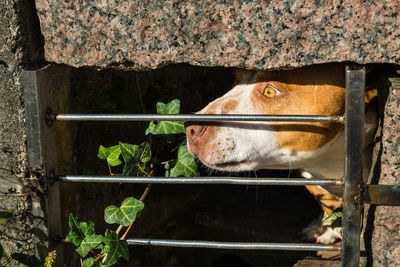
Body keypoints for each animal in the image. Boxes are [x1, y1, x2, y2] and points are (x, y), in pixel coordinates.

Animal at [186, 62, 376, 245]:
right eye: (236, 76)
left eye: (269, 91)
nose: (191, 127)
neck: (328, 160)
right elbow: (327, 201)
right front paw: (328, 227)